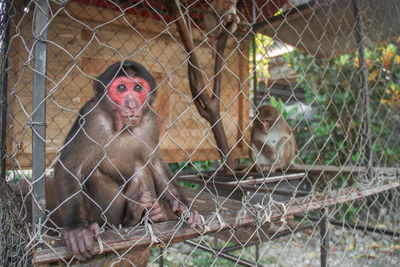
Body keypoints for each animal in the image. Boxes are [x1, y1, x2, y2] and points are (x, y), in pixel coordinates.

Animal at [53, 60, 202, 262]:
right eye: (122, 88)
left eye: (138, 88)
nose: (132, 105)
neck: (122, 128)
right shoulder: (91, 118)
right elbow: (70, 166)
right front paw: (77, 228)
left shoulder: (150, 121)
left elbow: (154, 162)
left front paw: (183, 207)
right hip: (109, 218)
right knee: (95, 176)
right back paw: (128, 217)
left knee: (141, 169)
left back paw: (150, 213)